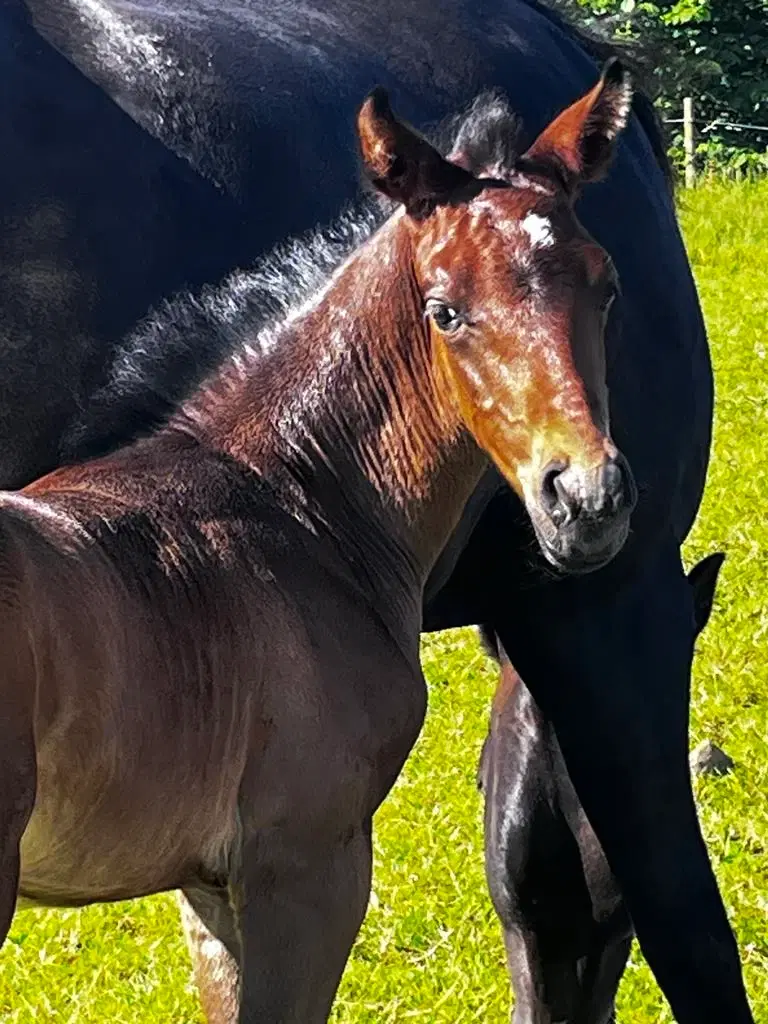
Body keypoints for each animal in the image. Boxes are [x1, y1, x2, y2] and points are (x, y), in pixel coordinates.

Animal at [0, 2, 757, 1024]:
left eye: (607, 287)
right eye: (444, 311)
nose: (587, 498)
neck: (283, 501)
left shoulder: (215, 887)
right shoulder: (306, 864)